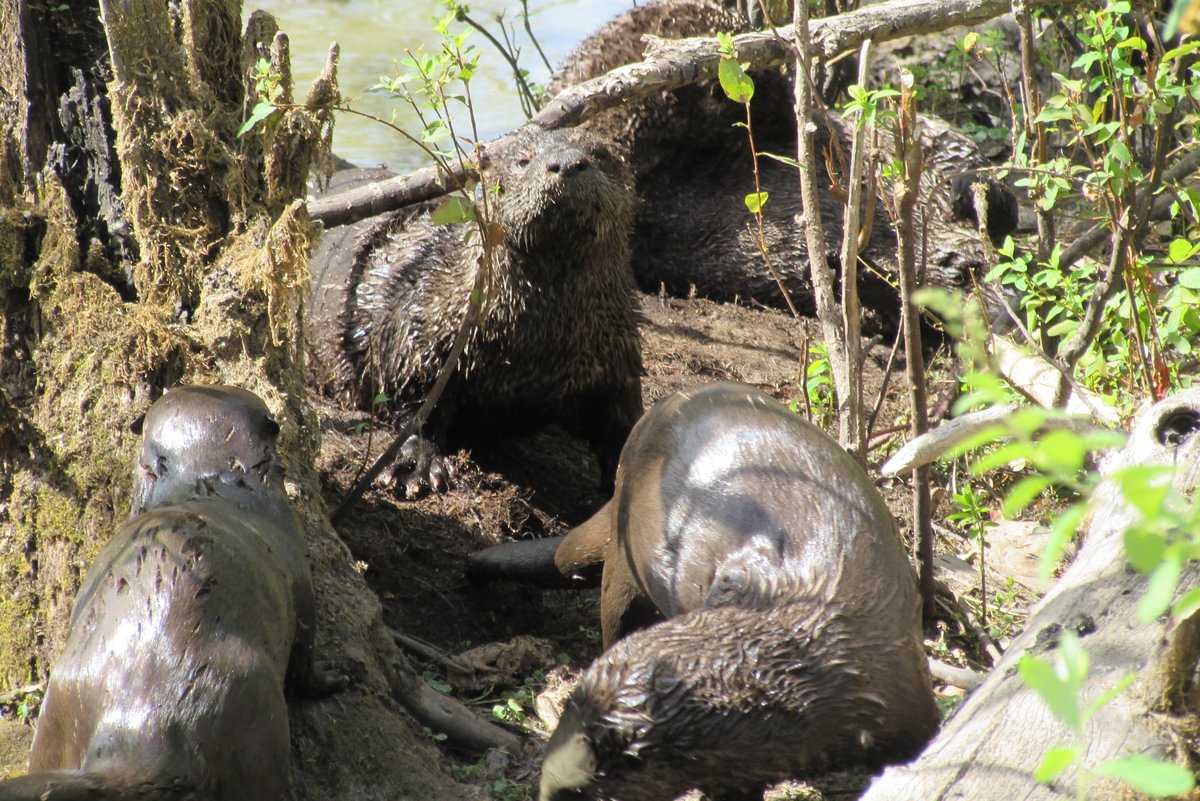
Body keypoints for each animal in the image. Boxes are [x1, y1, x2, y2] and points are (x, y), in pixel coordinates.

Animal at [0, 385, 343, 801]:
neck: (210, 485)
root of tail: (148, 727)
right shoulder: (300, 580)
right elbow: (305, 663)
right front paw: (333, 677)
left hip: (59, 709)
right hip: (256, 725)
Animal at [307, 125, 644, 495]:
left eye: (600, 154)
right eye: (523, 160)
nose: (568, 164)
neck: (536, 345)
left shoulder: (617, 350)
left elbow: (624, 420)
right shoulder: (416, 329)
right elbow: (416, 402)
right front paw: (417, 464)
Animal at [475, 382, 937, 800]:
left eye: (572, 792)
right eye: (544, 782)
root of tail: (654, 413)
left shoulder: (907, 701)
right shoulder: (733, 765)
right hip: (624, 559)